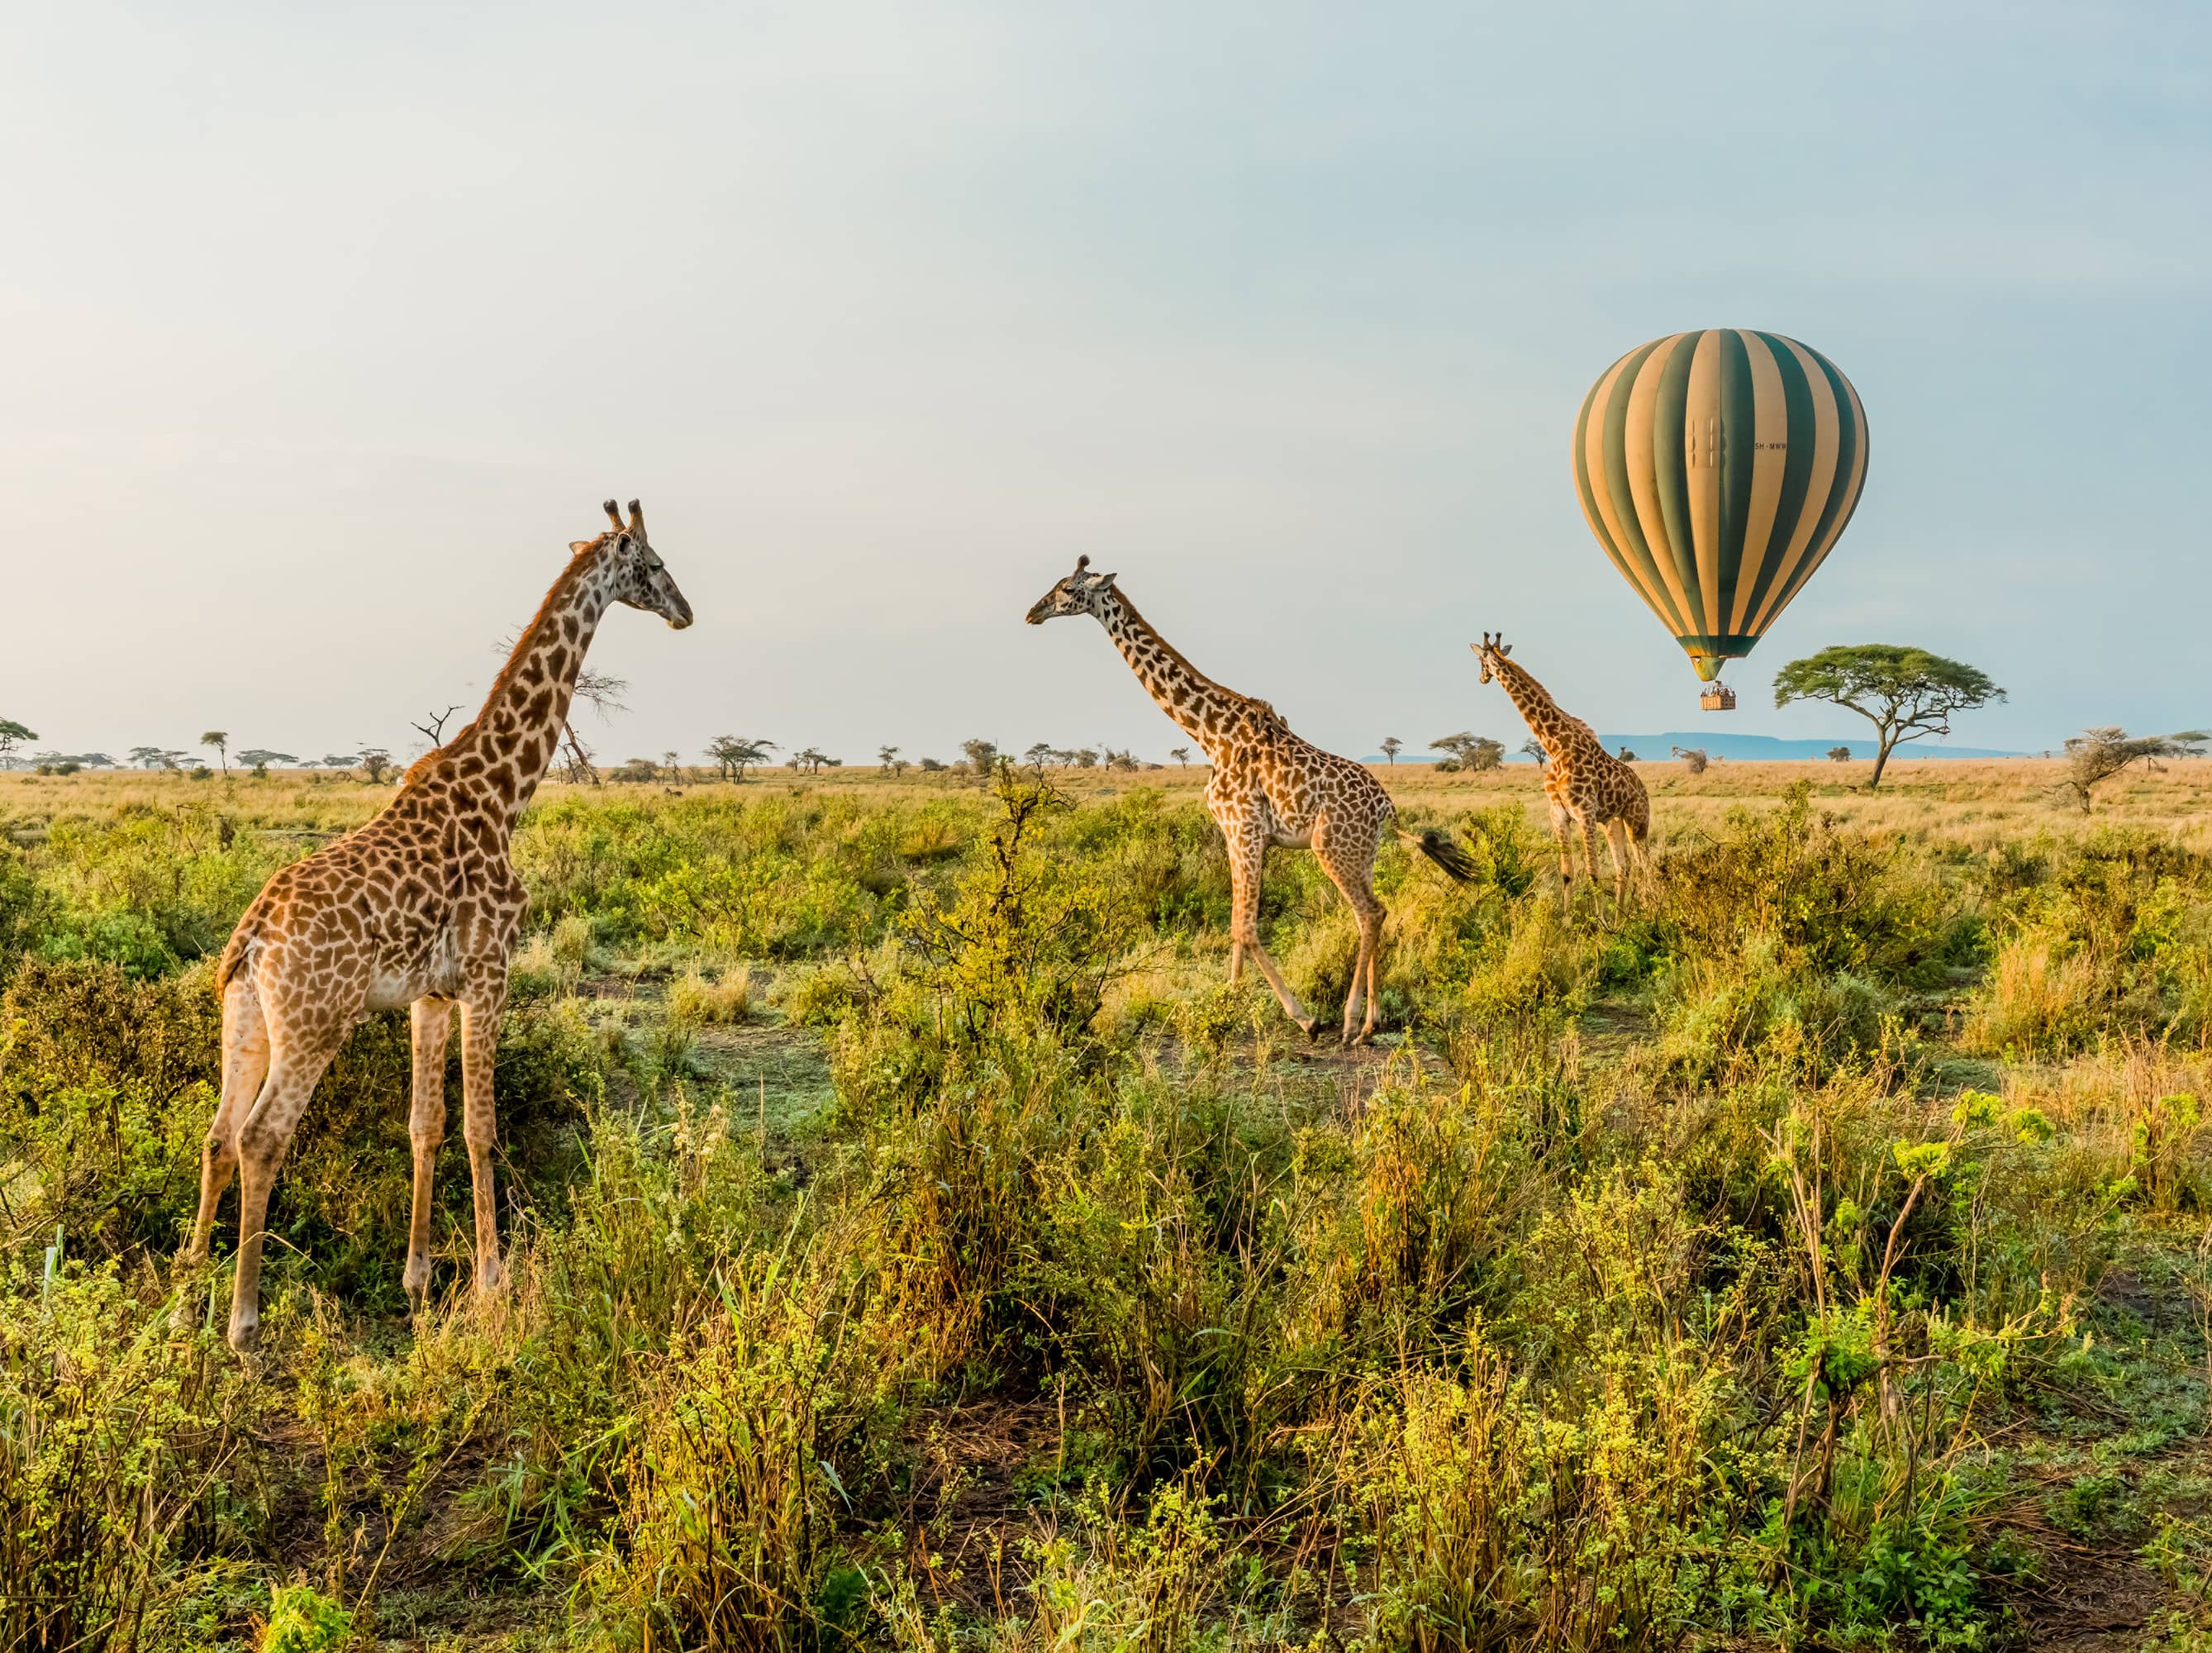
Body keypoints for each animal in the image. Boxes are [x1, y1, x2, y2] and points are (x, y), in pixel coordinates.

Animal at [187, 498, 694, 1354]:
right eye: (655, 565)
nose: (686, 612)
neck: (504, 794)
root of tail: (253, 937)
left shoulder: (429, 994)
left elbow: (424, 1125)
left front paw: (418, 1281)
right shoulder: (492, 972)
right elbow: (480, 1128)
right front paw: (493, 1282)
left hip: (246, 1017)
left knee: (219, 1135)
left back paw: (188, 1284)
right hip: (315, 1024)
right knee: (261, 1139)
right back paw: (243, 1326)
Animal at [1026, 562, 1477, 1040]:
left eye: (1067, 589)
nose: (1033, 613)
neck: (1208, 734)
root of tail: (1388, 809)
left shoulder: (1245, 828)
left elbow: (1244, 926)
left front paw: (1304, 1017)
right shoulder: (1232, 832)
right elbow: (1234, 926)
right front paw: (1228, 1000)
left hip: (1331, 848)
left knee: (1371, 913)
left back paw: (1350, 1020)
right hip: (1361, 853)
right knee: (1372, 914)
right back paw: (1372, 1021)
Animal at [1477, 632, 1654, 916]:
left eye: (1480, 660)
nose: (1482, 678)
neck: (1555, 746)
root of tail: (1642, 787)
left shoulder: (1585, 813)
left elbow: (1593, 872)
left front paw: (1599, 923)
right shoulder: (1559, 813)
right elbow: (1567, 873)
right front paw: (1566, 920)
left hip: (1636, 822)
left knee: (1645, 864)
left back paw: (1649, 910)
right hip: (1612, 822)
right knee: (1624, 867)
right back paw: (1622, 918)